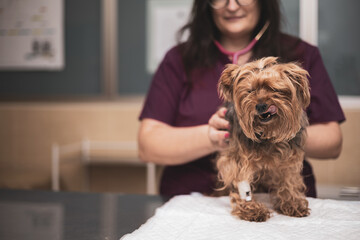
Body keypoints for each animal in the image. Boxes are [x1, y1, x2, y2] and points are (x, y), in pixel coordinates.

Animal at [217, 56, 312, 221]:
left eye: (274, 89)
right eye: (250, 91)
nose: (261, 106)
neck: (268, 132)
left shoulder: (289, 157)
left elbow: (288, 178)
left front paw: (292, 203)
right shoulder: (238, 156)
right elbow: (242, 180)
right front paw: (250, 208)